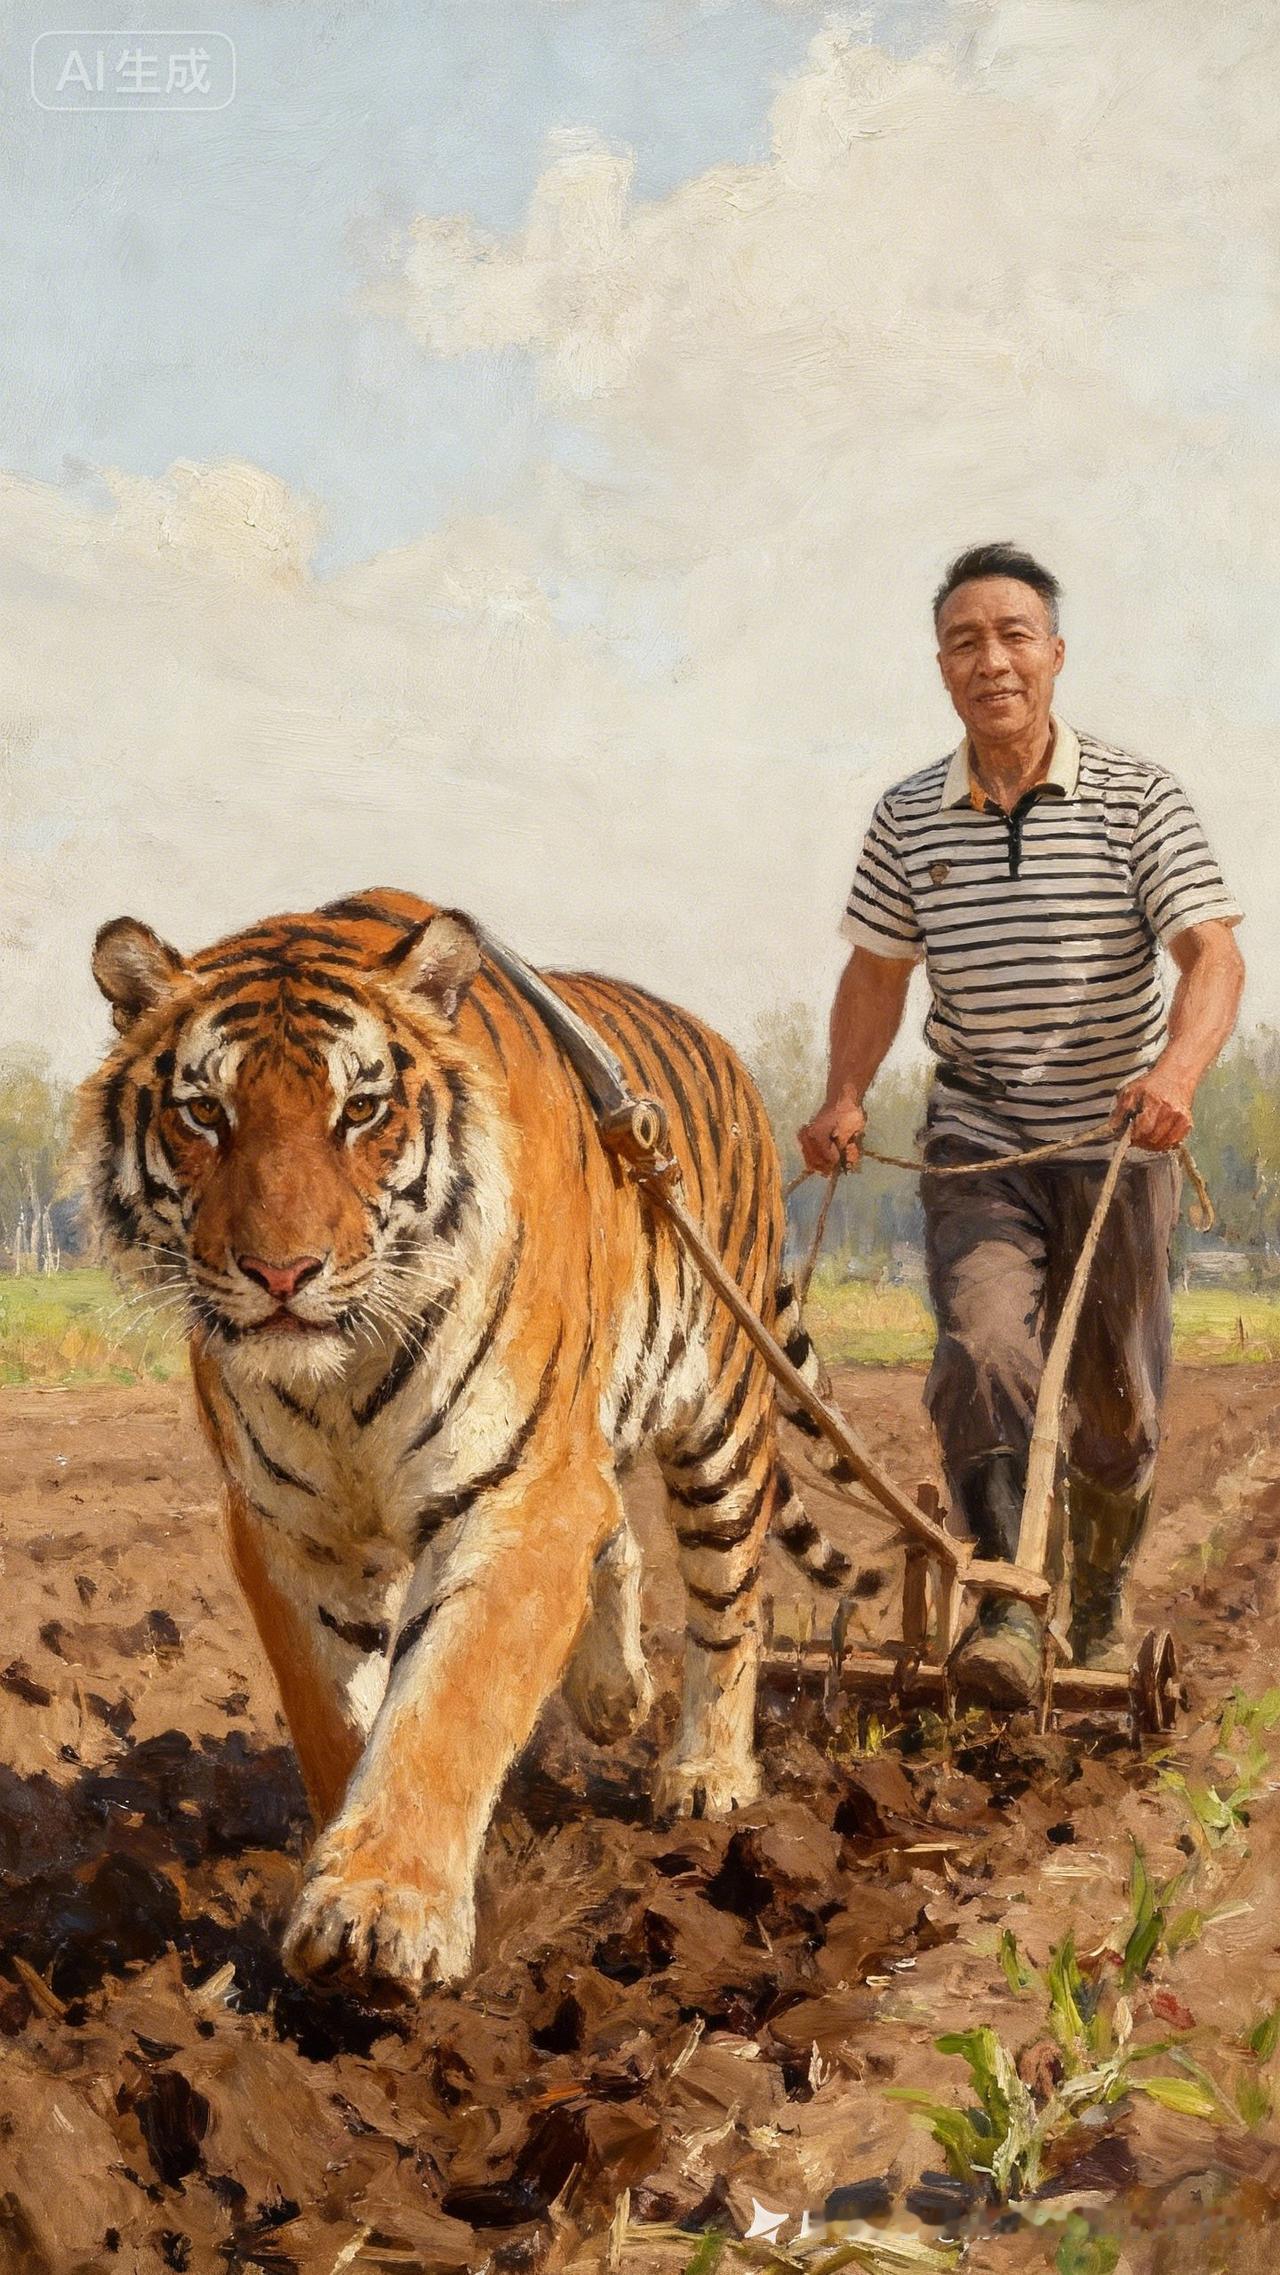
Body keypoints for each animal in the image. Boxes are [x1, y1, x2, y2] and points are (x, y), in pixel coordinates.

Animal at [77, 889, 850, 1997]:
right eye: (204, 1113)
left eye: (360, 1111)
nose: (282, 1273)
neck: (338, 1376)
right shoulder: (286, 1528)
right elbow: (339, 1715)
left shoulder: (517, 1493)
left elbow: (446, 1700)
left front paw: (380, 1914)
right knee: (619, 1531)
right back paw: (613, 1698)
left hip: (723, 1427)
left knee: (726, 1606)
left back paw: (706, 1772)